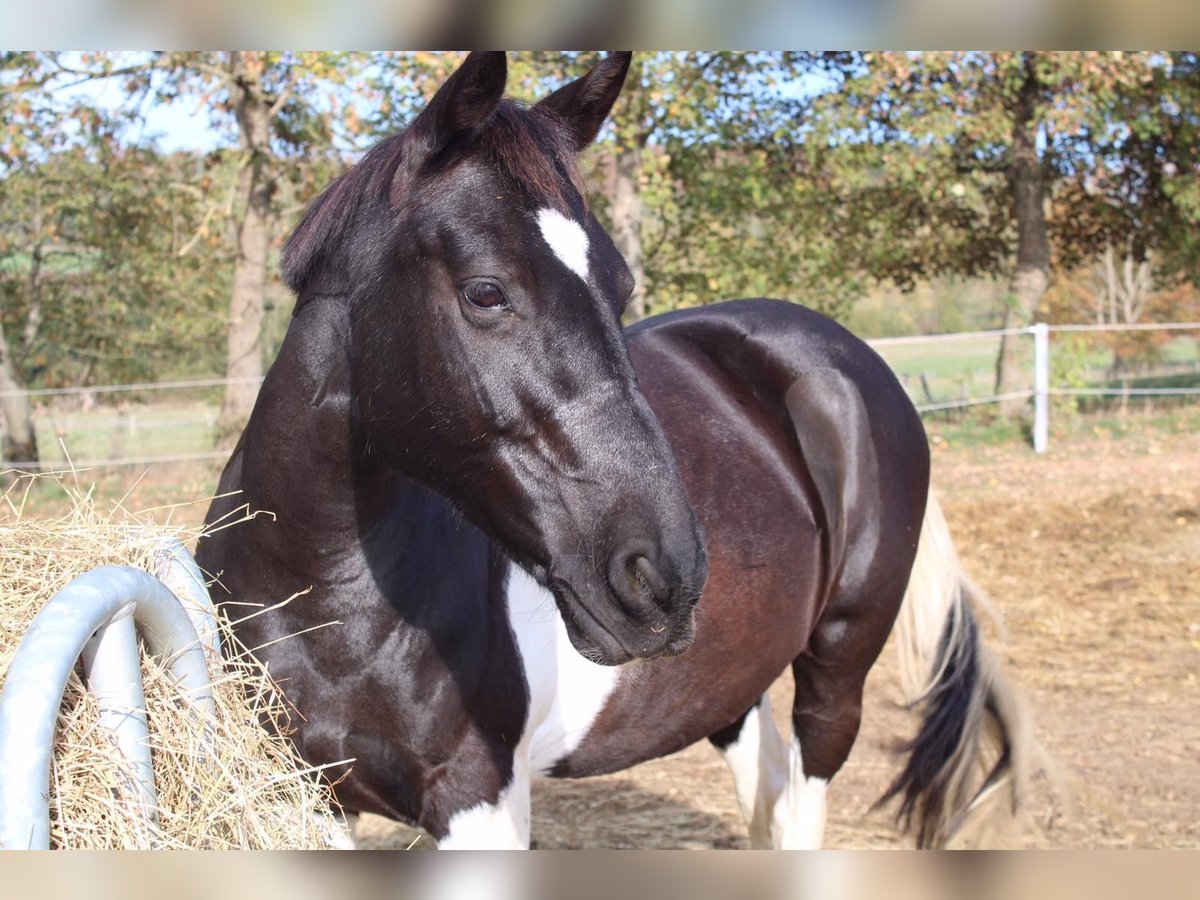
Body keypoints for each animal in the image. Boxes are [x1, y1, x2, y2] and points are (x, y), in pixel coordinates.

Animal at [197, 51, 1032, 849]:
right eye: (485, 291)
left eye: (620, 287)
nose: (665, 578)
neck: (320, 589)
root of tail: (849, 361)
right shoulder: (305, 794)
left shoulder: (479, 799)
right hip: (732, 687)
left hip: (837, 676)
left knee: (799, 804)